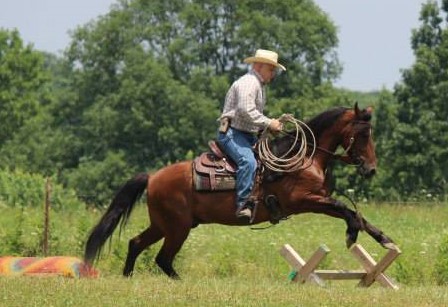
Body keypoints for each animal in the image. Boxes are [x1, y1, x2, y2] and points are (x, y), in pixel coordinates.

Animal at [84, 103, 396, 280]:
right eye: (364, 133)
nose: (371, 169)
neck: (307, 158)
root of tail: (152, 177)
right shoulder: (305, 200)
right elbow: (346, 210)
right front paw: (351, 233)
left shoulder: (317, 200)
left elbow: (358, 214)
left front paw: (385, 239)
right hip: (177, 227)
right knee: (162, 258)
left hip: (164, 225)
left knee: (136, 243)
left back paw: (128, 277)